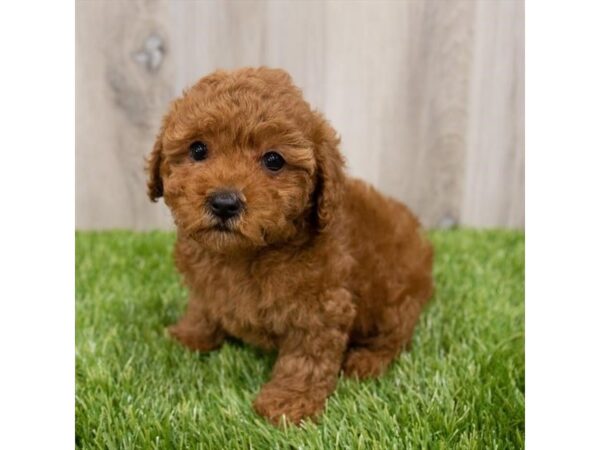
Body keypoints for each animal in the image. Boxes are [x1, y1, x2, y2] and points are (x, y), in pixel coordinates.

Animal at [148, 67, 434, 426]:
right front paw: (190, 335)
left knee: (395, 338)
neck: (244, 253)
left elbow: (305, 358)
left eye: (274, 160)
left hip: (398, 300)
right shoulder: (204, 283)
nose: (224, 203)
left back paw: (367, 360)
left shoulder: (321, 307)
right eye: (198, 150)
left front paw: (288, 402)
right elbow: (202, 307)